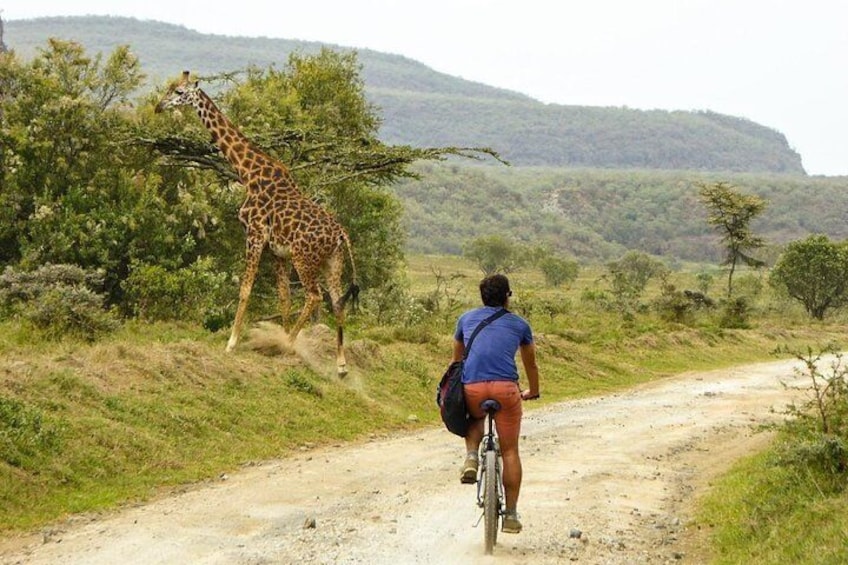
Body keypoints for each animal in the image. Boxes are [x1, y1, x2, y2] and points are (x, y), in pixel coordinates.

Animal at [156, 71, 358, 374]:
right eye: (169, 87)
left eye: (179, 92)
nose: (159, 106)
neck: (248, 172)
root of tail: (341, 233)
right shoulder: (277, 250)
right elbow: (284, 296)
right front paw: (277, 336)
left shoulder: (254, 234)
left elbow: (245, 288)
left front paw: (233, 342)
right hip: (333, 262)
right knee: (336, 301)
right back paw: (341, 364)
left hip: (304, 258)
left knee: (314, 296)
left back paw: (289, 343)